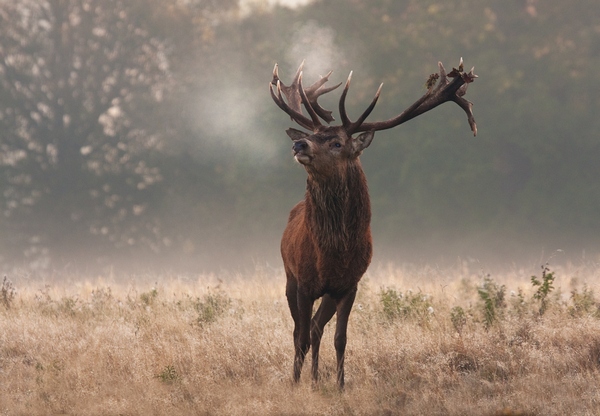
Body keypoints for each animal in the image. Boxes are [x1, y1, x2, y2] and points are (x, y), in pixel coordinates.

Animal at [270, 59, 478, 390]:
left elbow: (340, 338)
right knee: (301, 332)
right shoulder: (303, 281)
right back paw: (307, 378)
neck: (332, 253)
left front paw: (340, 386)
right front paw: (294, 384)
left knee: (316, 327)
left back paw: (316, 379)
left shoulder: (349, 284)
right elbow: (299, 337)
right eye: (313, 136)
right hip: (289, 277)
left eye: (337, 142)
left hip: (329, 293)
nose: (300, 144)